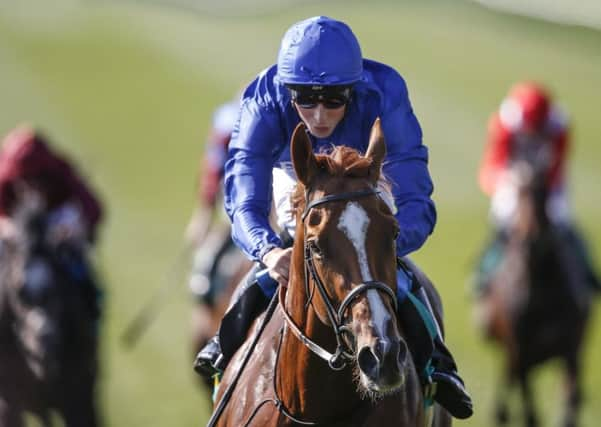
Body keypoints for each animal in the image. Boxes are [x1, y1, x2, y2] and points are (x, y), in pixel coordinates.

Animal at [476, 156, 592, 427]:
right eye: (520, 193)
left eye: (544, 191)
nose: (532, 239)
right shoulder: (521, 352)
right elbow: (531, 412)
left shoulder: (570, 348)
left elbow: (570, 403)